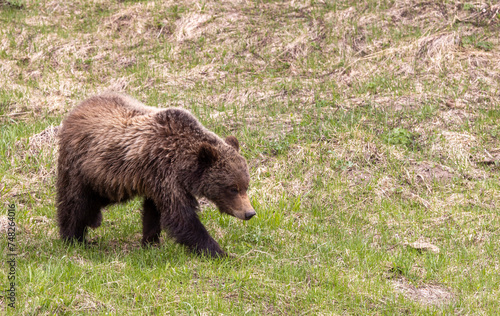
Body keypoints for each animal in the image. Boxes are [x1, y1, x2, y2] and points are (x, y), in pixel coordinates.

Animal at [56, 91, 256, 256]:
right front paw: (220, 252)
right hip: (84, 167)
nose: (250, 213)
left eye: (245, 186)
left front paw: (150, 242)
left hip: (105, 179)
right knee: (75, 202)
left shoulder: (156, 180)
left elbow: (154, 211)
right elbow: (181, 217)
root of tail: (76, 109)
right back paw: (74, 239)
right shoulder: (165, 173)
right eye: (232, 188)